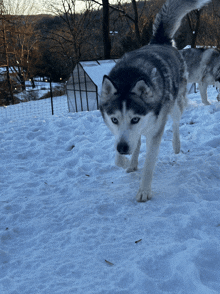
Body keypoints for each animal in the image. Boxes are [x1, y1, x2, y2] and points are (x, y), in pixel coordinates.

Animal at [99, 0, 210, 201]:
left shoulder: (154, 130)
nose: (123, 148)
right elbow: (121, 154)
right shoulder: (120, 134)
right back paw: (132, 161)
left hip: (175, 105)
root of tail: (160, 41)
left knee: (175, 123)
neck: (130, 77)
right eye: (114, 119)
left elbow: (149, 163)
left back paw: (176, 145)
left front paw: (144, 190)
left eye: (135, 118)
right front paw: (126, 161)